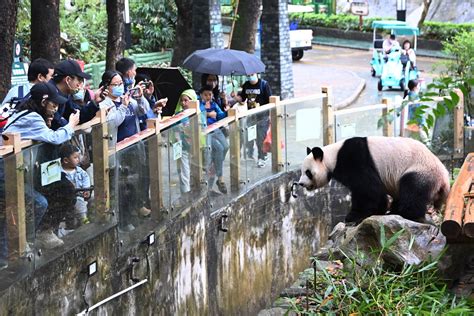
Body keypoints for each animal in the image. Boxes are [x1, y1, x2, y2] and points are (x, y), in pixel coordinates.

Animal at [298, 135, 450, 222]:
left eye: (308, 172)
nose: (300, 184)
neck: (332, 156)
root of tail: (445, 181)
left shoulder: (354, 158)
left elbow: (368, 189)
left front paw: (354, 215)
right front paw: (377, 211)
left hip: (421, 170)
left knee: (413, 189)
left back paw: (402, 212)